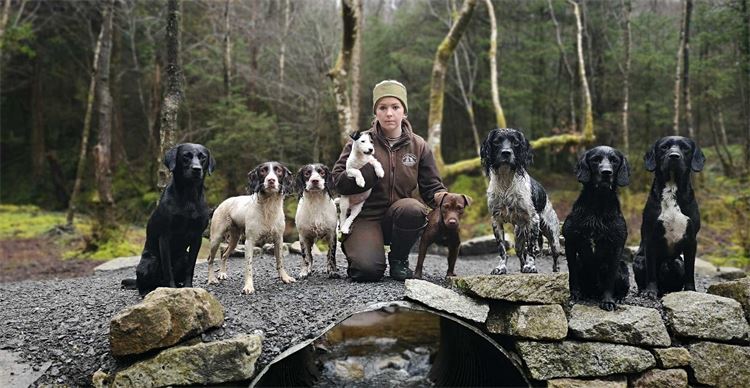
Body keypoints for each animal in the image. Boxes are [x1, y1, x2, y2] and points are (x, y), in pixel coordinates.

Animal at [120, 143, 214, 298]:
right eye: (186, 156)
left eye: (203, 157)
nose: (196, 169)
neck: (189, 196)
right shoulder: (165, 237)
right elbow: (167, 268)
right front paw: (172, 289)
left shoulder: (197, 237)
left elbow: (191, 268)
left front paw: (189, 287)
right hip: (149, 261)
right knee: (142, 284)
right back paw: (148, 291)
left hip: (184, 256)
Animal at [210, 161, 298, 294]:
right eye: (263, 171)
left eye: (278, 171)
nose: (271, 180)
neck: (268, 206)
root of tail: (224, 202)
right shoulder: (249, 242)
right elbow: (249, 266)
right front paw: (248, 286)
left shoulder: (278, 239)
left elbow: (280, 261)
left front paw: (285, 278)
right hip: (216, 238)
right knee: (210, 260)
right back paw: (212, 279)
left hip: (234, 240)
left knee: (224, 255)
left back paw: (222, 273)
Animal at [484, 129, 560, 274]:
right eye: (496, 141)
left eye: (515, 142)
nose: (506, 153)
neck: (506, 182)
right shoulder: (496, 220)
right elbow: (502, 249)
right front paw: (501, 268)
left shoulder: (533, 220)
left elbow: (531, 248)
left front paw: (530, 266)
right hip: (518, 238)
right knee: (520, 253)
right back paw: (521, 267)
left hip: (552, 235)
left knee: (555, 253)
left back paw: (556, 269)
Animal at [568, 147, 632, 310]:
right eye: (595, 159)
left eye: (614, 160)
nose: (606, 172)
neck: (598, 203)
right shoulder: (570, 243)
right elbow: (572, 274)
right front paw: (574, 295)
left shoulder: (617, 247)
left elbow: (610, 278)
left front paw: (608, 301)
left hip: (623, 268)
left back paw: (619, 298)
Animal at [636, 136, 708, 298]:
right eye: (664, 147)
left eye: (685, 148)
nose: (674, 156)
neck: (672, 188)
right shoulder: (650, 238)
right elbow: (651, 271)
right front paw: (650, 292)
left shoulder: (691, 239)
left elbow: (690, 269)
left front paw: (690, 290)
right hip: (639, 261)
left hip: (677, 262)